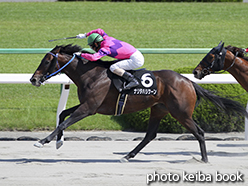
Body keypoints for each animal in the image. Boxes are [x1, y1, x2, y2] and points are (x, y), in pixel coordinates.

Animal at [29, 44, 248, 163]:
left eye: (47, 61)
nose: (33, 79)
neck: (91, 75)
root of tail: (188, 81)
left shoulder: (89, 108)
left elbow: (65, 122)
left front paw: (42, 141)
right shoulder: (89, 105)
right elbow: (62, 115)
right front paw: (58, 142)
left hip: (181, 113)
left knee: (199, 132)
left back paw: (203, 159)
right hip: (159, 110)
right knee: (150, 135)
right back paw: (127, 156)